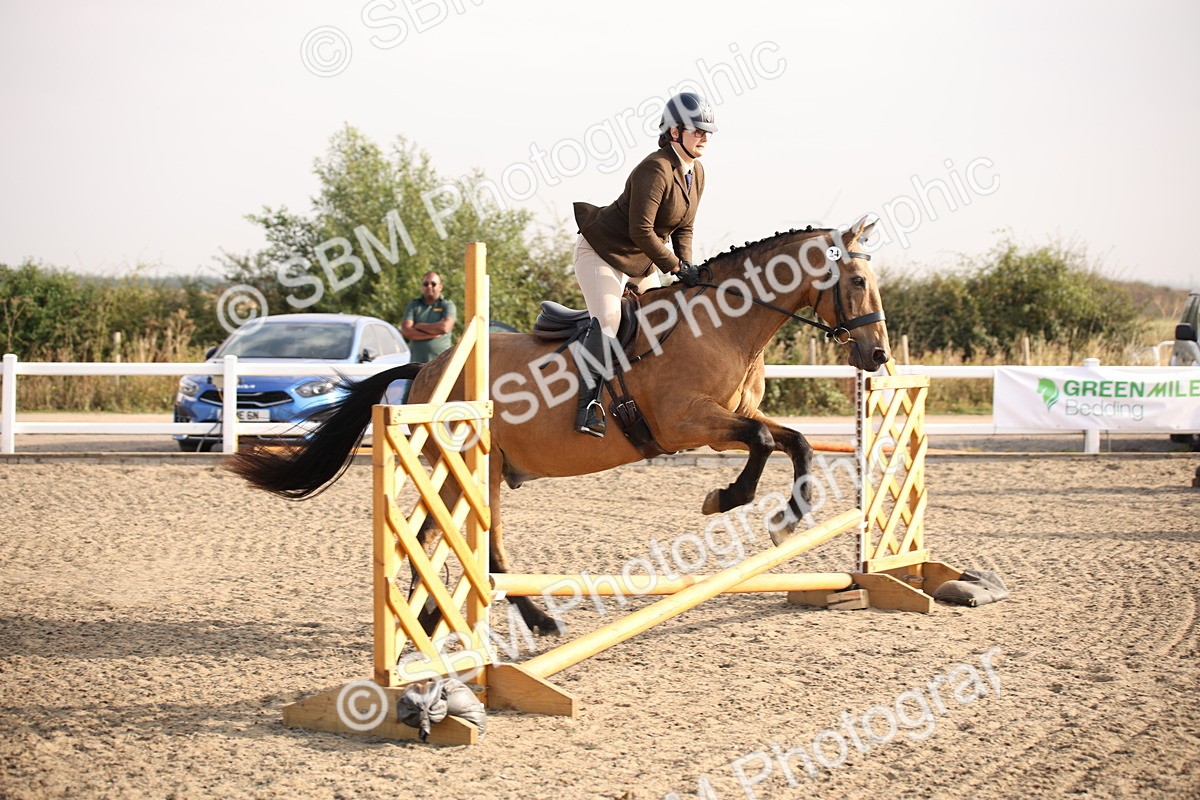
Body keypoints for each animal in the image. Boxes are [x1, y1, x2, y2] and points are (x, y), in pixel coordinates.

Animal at [227, 216, 890, 634]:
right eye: (858, 281)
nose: (878, 356)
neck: (724, 325)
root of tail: (427, 367)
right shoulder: (687, 424)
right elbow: (761, 445)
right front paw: (725, 498)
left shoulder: (733, 416)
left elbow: (795, 442)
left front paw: (786, 520)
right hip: (477, 467)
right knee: (481, 550)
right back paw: (531, 621)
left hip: (470, 471)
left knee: (442, 539)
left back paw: (435, 618)